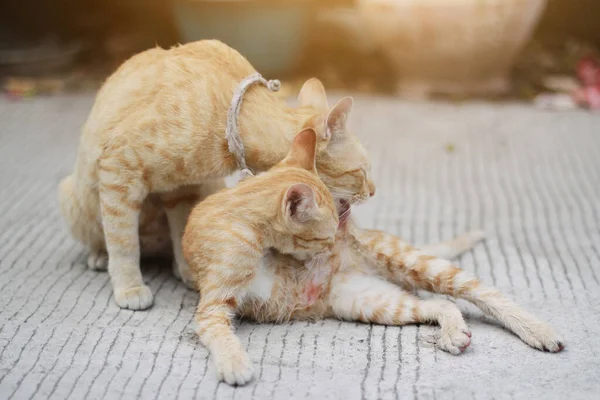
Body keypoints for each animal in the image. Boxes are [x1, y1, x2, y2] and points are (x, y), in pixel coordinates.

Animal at [57, 39, 376, 310]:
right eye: (362, 171)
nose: (373, 192)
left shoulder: (183, 189)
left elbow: (182, 231)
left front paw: (191, 268)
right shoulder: (120, 170)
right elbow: (123, 242)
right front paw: (129, 286)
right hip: (76, 197)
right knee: (107, 237)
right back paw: (100, 256)